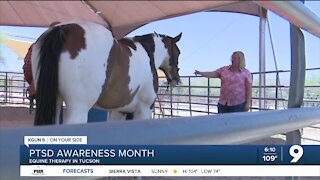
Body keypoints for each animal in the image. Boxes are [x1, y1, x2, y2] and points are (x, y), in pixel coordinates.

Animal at [31, 21, 182, 125]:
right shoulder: (144, 110)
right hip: (78, 107)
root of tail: (63, 29)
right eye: (178, 52)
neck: (147, 53)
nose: (176, 79)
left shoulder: (119, 111)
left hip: (55, 102)